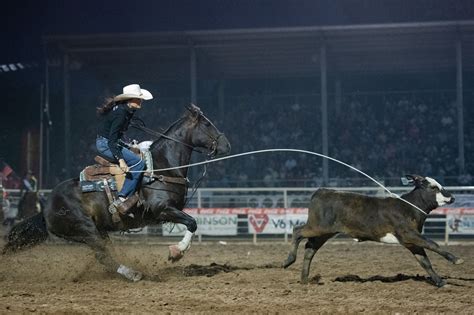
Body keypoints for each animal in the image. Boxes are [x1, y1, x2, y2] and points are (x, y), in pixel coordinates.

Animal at [3, 105, 231, 282]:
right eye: (207, 124)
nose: (226, 145)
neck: (162, 166)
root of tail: (46, 208)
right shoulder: (162, 209)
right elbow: (192, 223)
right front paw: (176, 252)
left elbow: (192, 223)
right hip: (85, 229)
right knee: (103, 256)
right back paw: (133, 274)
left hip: (98, 231)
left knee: (105, 254)